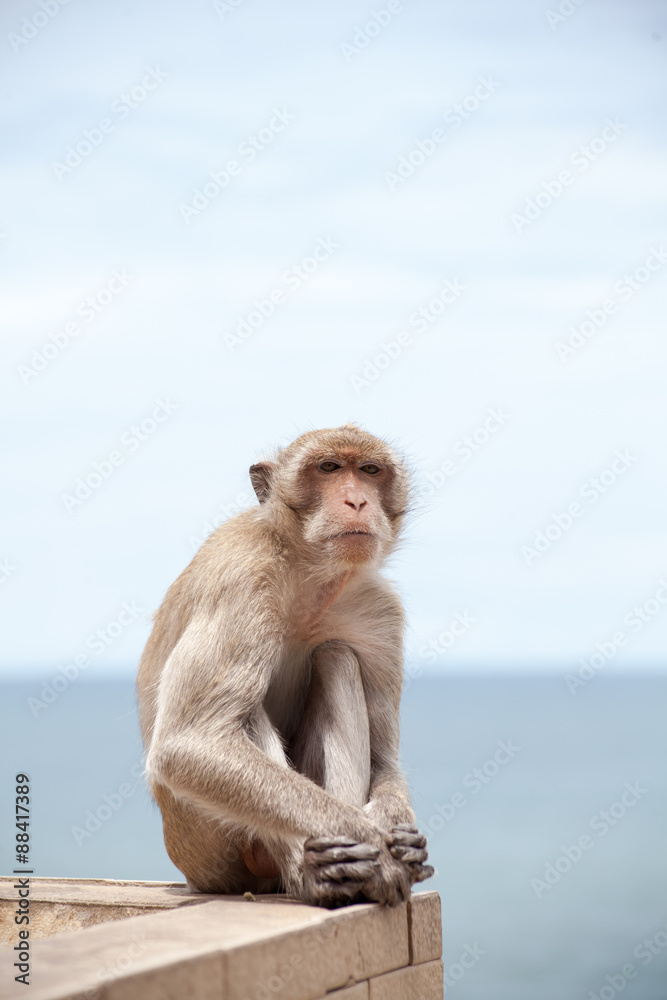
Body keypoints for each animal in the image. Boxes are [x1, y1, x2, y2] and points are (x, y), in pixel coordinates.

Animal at [137, 424, 433, 908]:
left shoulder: (381, 612)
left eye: (369, 471)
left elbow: (384, 759)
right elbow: (189, 743)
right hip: (206, 847)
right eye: (328, 468)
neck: (307, 573)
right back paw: (310, 873)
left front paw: (394, 830)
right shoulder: (240, 578)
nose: (357, 501)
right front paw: (371, 841)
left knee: (336, 657)